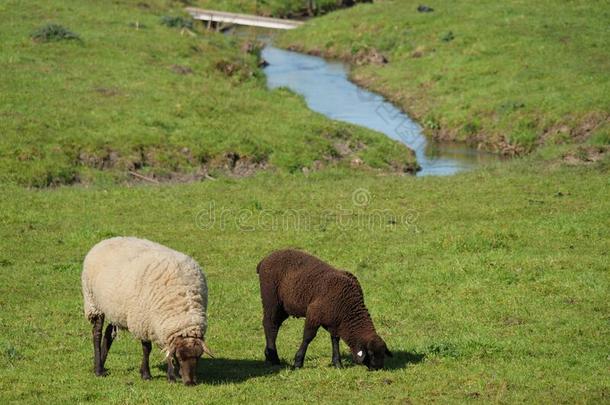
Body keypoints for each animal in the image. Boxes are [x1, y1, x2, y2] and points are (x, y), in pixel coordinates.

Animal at [81, 235, 214, 384]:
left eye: (199, 357)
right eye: (180, 357)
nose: (190, 383)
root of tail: (107, 240)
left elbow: (167, 350)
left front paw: (171, 375)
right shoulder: (143, 321)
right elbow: (147, 349)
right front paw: (146, 374)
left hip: (115, 309)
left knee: (109, 333)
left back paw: (102, 365)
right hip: (94, 303)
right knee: (97, 334)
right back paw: (98, 369)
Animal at [255, 248, 390, 368]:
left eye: (383, 354)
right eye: (371, 353)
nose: (377, 368)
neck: (348, 308)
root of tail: (264, 260)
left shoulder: (335, 321)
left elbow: (335, 340)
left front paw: (337, 363)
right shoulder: (313, 314)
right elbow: (307, 338)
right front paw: (298, 362)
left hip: (284, 307)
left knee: (275, 325)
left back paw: (268, 355)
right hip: (271, 299)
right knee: (270, 325)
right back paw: (274, 359)